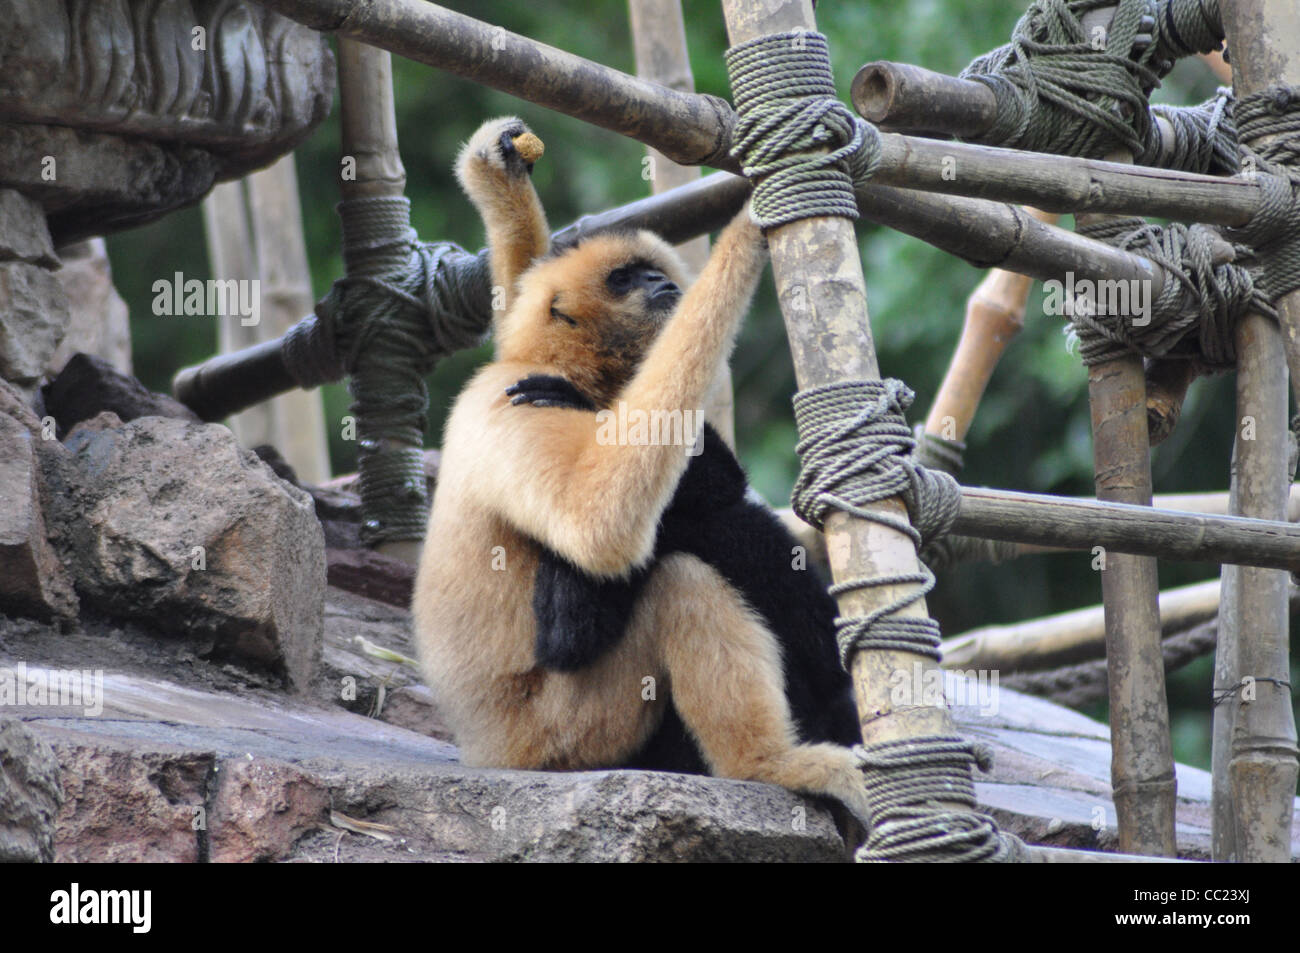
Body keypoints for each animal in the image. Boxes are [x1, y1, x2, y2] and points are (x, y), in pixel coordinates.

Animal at [412, 116, 870, 823]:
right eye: (625, 278)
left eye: (651, 272)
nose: (661, 286)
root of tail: (490, 751)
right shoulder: (517, 406)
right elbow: (595, 536)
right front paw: (749, 225)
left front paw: (500, 179)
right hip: (574, 730)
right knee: (681, 574)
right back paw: (771, 764)